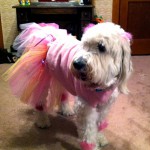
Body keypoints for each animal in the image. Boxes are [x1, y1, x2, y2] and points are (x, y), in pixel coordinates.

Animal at [3, 21, 132, 149]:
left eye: (101, 47)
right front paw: (91, 145)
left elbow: (99, 124)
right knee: (40, 101)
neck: (99, 86)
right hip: (44, 80)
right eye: (84, 45)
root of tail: (48, 36)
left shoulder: (105, 106)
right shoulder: (85, 108)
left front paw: (100, 138)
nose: (77, 63)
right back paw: (42, 121)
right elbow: (88, 132)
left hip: (60, 76)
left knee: (62, 94)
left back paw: (66, 110)